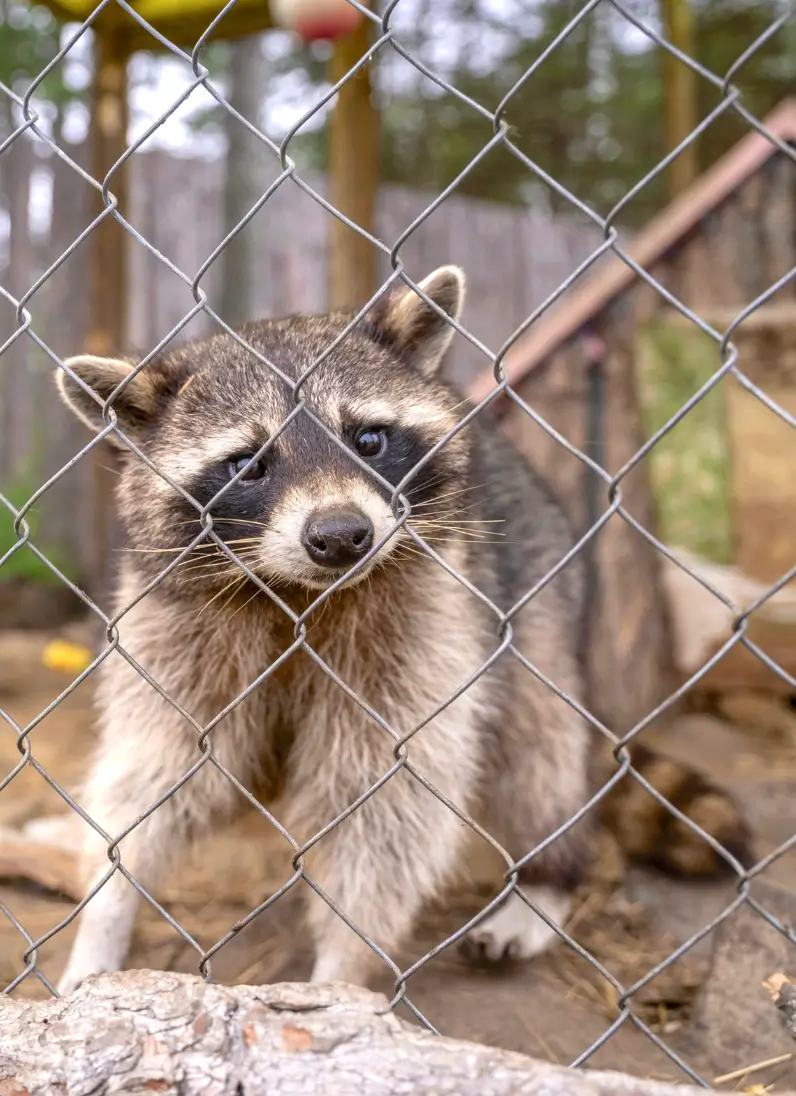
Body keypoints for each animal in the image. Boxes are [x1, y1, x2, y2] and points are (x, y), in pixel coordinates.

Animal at [51, 266, 751, 996]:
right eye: (248, 464)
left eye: (368, 440)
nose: (340, 536)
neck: (297, 594)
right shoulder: (173, 627)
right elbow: (156, 772)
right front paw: (106, 912)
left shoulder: (424, 622)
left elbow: (386, 804)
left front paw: (343, 968)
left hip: (536, 604)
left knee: (538, 753)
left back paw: (547, 874)